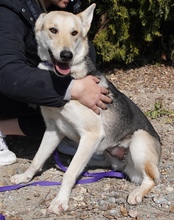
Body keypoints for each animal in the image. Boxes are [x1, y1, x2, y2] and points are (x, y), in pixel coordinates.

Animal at [10, 3, 161, 215]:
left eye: (74, 33)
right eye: (53, 30)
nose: (66, 55)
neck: (65, 80)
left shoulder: (91, 134)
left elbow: (69, 174)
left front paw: (61, 200)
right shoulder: (53, 130)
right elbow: (38, 159)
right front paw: (25, 177)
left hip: (139, 141)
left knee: (151, 179)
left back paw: (137, 193)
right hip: (101, 151)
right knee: (98, 161)